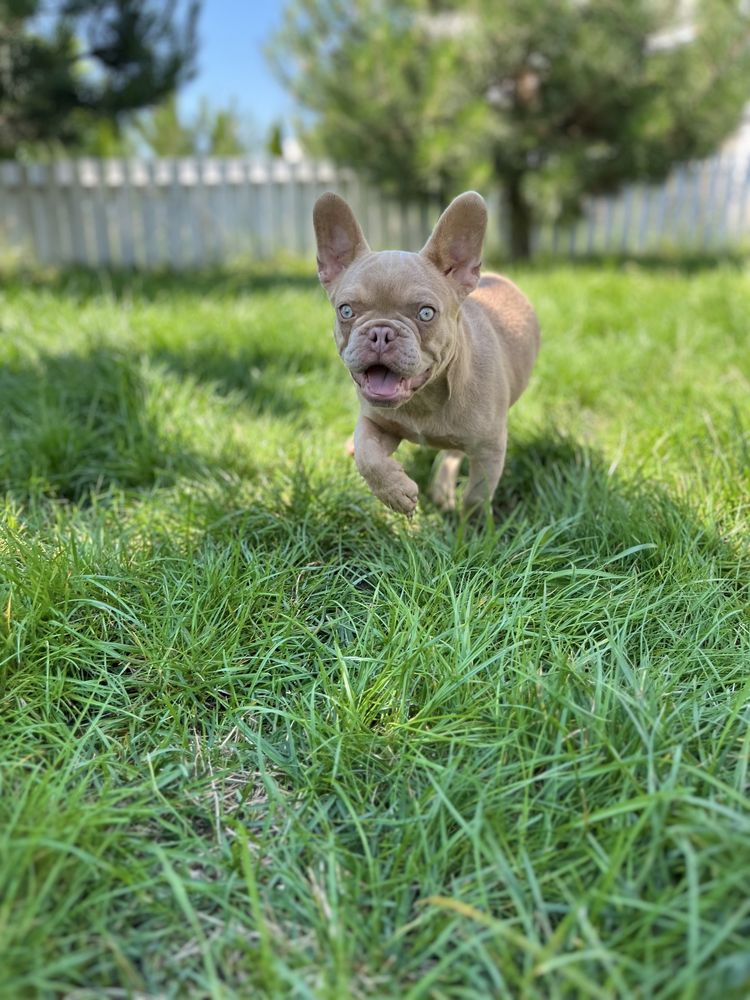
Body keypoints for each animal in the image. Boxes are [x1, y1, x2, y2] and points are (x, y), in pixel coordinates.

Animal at [312, 190, 540, 516]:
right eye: (345, 310)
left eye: (426, 313)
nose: (381, 333)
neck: (424, 399)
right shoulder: (375, 421)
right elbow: (368, 456)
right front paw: (396, 493)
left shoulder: (489, 449)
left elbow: (477, 495)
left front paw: (470, 526)